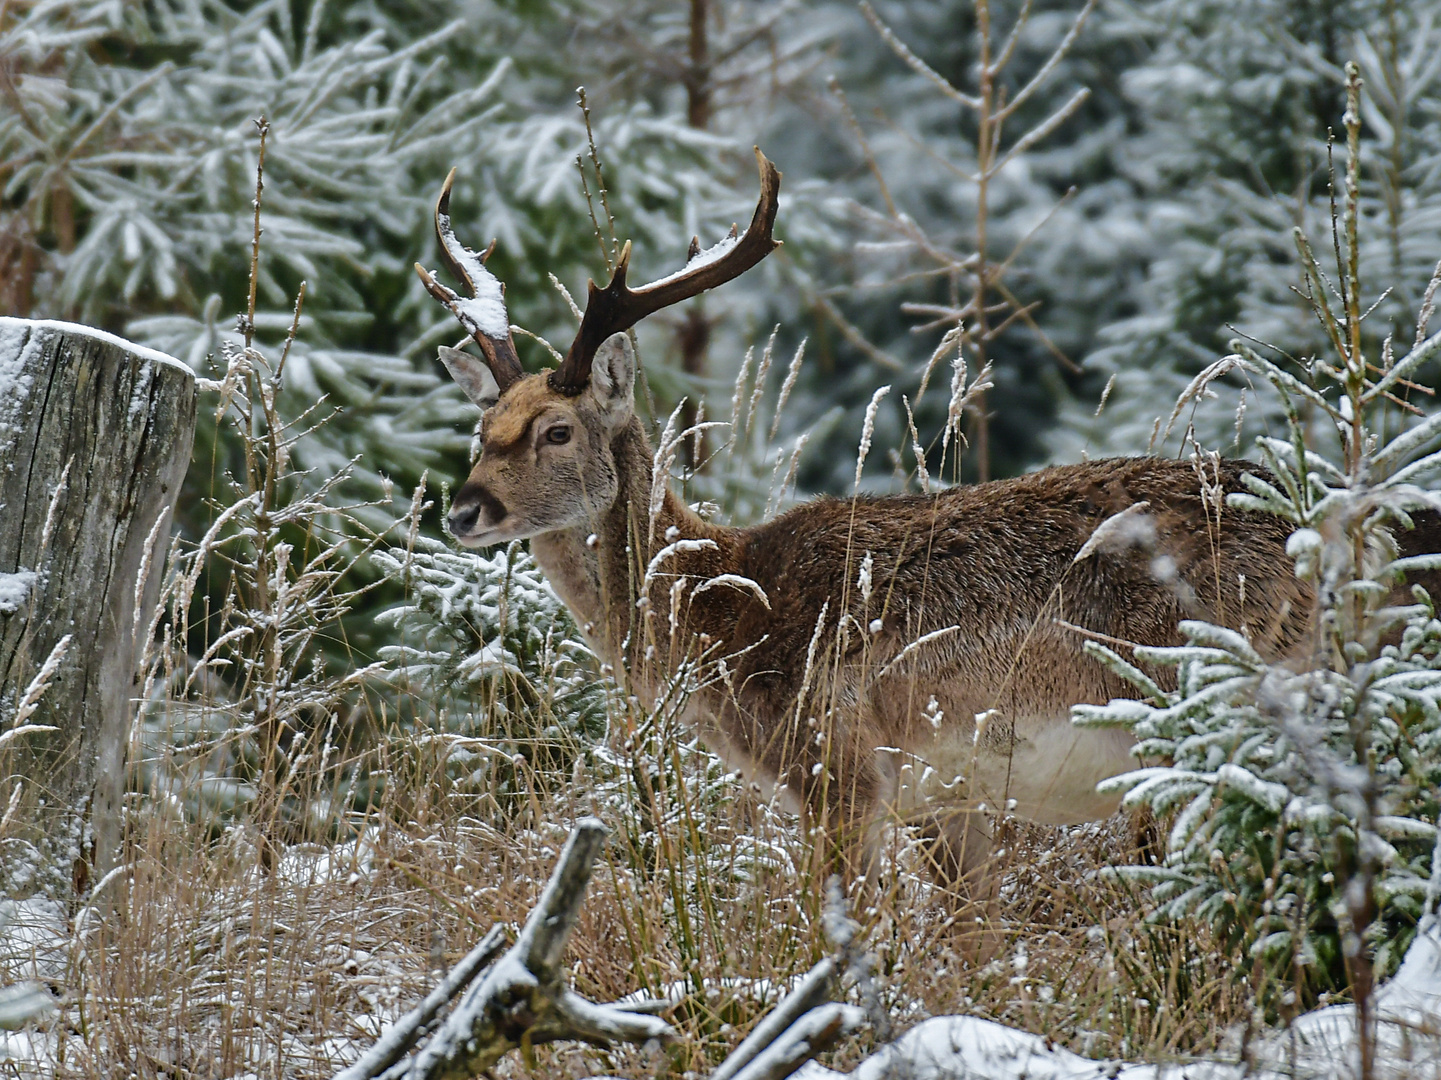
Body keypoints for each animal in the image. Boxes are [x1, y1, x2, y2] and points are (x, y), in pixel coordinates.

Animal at [415, 149, 1441, 893]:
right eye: (480, 429)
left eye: (555, 430)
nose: (464, 507)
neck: (722, 615)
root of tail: (1351, 532)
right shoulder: (944, 799)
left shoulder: (836, 764)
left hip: (1201, 699)